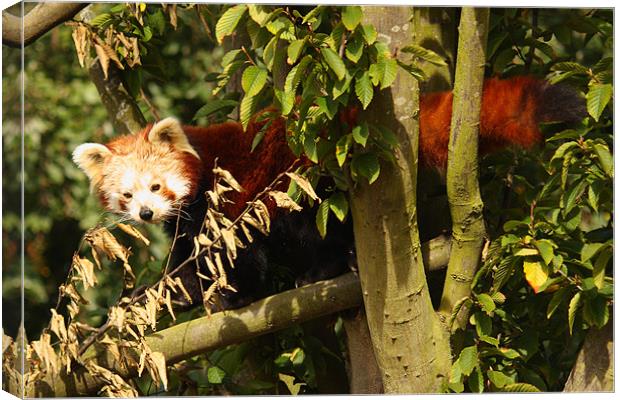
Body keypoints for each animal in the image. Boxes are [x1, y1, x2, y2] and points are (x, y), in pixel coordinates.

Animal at [74, 76, 588, 310]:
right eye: (127, 195)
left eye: (156, 186)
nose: (145, 213)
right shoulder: (191, 217)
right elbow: (187, 255)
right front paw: (156, 293)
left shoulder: (227, 196)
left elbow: (230, 255)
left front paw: (219, 292)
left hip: (310, 177)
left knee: (313, 224)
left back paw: (325, 268)